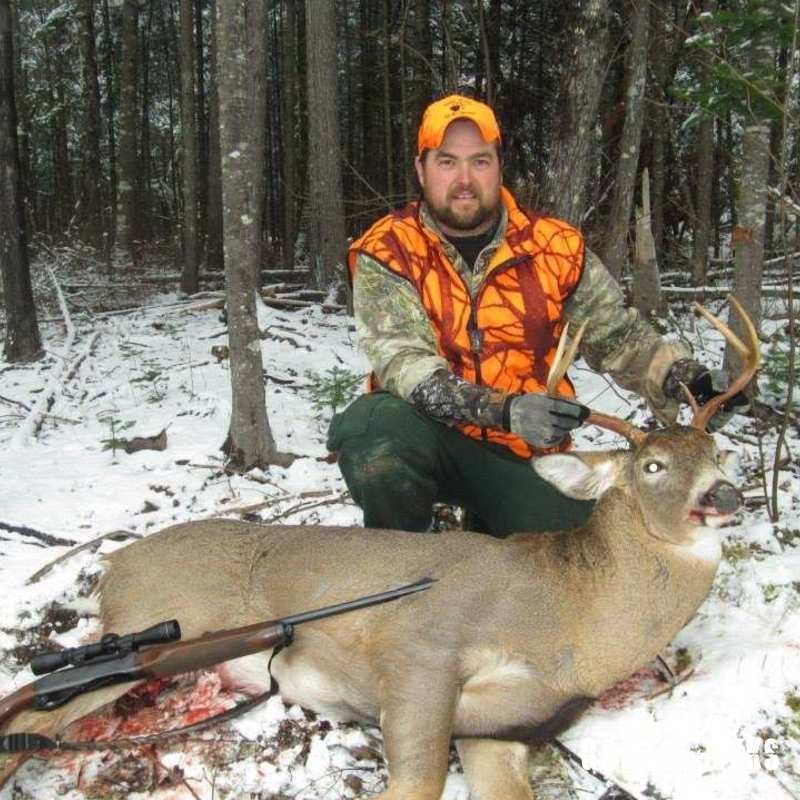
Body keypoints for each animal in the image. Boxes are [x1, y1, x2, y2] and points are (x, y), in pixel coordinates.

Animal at [0, 298, 759, 800]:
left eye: (716, 450)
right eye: (653, 467)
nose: (726, 495)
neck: (572, 621)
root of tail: (114, 565)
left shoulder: (503, 729)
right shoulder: (421, 647)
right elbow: (415, 782)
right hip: (152, 628)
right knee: (30, 705)